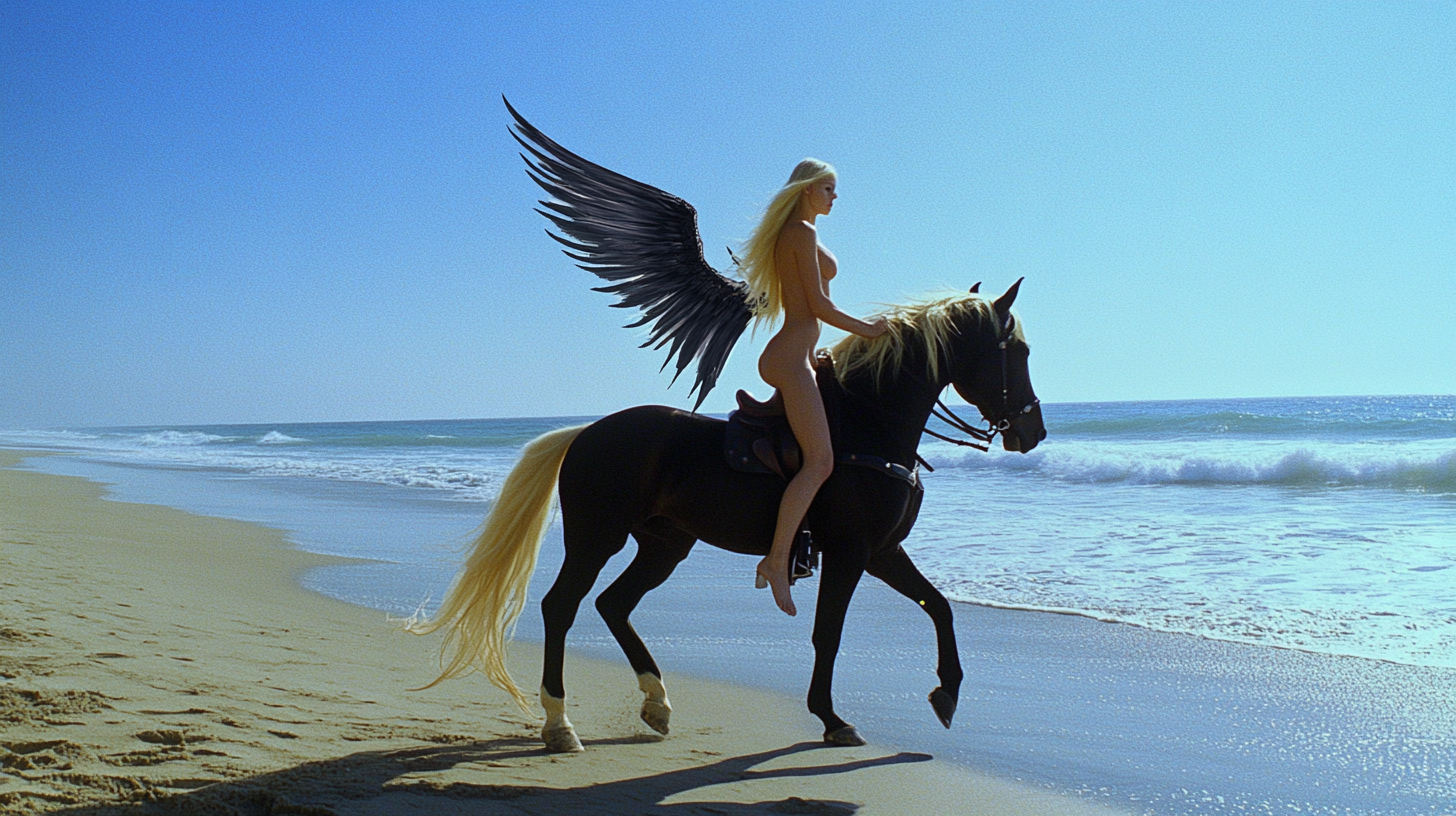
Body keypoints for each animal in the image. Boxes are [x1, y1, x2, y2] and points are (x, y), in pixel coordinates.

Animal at [416, 279, 1042, 751]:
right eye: (1020, 353)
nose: (1032, 431)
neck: (869, 426)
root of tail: (588, 433)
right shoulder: (851, 553)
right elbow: (829, 633)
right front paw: (831, 718)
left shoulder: (883, 551)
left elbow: (939, 607)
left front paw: (947, 693)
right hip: (597, 538)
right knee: (561, 607)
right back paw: (559, 722)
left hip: (665, 545)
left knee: (613, 604)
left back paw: (656, 701)